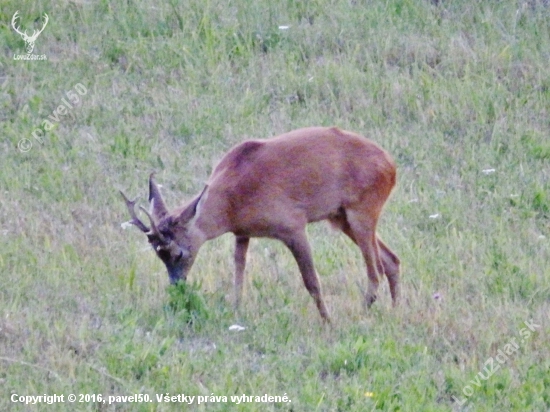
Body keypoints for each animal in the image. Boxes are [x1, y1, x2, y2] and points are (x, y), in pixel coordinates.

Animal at [121, 126, 398, 322]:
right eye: (159, 255)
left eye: (178, 253)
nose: (176, 287)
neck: (232, 200)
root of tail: (391, 165)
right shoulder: (242, 233)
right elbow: (238, 274)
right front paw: (236, 311)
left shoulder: (293, 226)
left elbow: (311, 280)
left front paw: (327, 321)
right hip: (341, 218)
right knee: (391, 260)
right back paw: (395, 311)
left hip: (362, 211)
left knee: (375, 270)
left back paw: (364, 311)